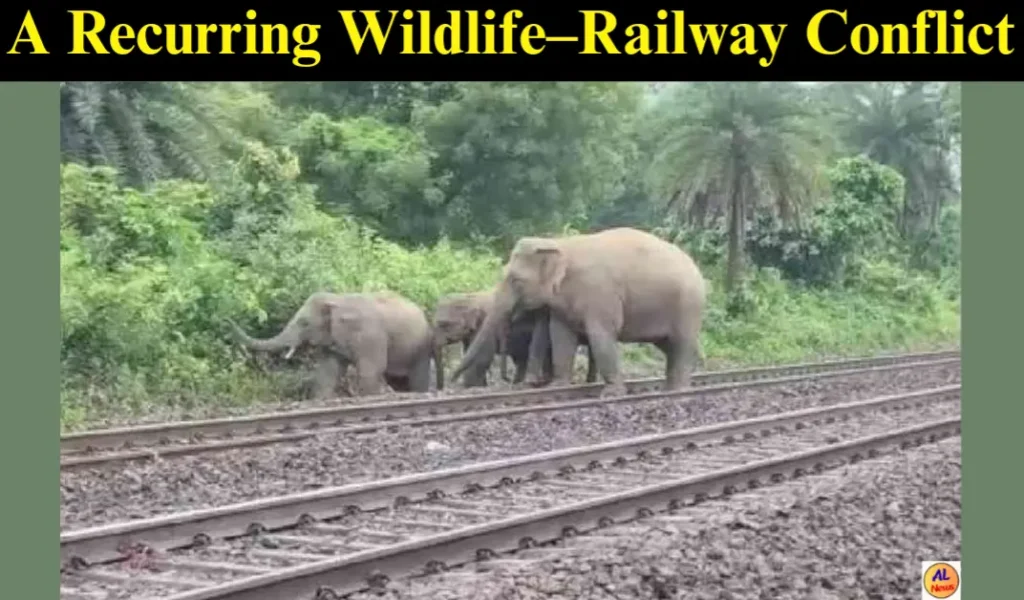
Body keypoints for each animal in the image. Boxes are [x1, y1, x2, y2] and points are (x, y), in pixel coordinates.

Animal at [228, 291, 443, 398]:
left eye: (304, 323)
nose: (228, 319)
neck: (337, 299)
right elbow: (329, 370)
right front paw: (321, 400)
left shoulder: (370, 335)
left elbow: (371, 368)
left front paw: (370, 398)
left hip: (421, 348)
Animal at [451, 227, 706, 397]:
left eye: (516, 281)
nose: (454, 383)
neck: (561, 244)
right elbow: (560, 335)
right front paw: (557, 386)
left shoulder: (600, 293)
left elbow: (600, 335)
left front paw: (611, 394)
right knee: (669, 345)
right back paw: (672, 387)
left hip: (688, 305)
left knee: (681, 343)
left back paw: (678, 390)